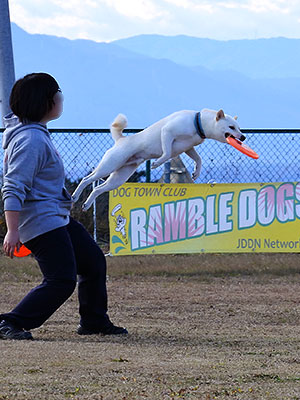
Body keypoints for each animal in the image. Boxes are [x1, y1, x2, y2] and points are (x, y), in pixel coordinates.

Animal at [72, 108, 244, 211]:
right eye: (231, 127)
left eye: (239, 127)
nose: (243, 137)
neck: (198, 123)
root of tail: (120, 140)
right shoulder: (167, 133)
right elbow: (167, 153)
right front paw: (156, 163)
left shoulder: (189, 148)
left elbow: (199, 159)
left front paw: (196, 172)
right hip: (109, 166)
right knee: (87, 179)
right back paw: (75, 196)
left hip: (119, 178)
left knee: (97, 189)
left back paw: (86, 204)